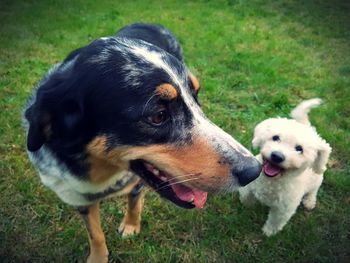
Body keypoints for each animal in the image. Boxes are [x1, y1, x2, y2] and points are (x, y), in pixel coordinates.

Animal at [24, 23, 260, 263]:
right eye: (158, 116)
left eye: (196, 97)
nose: (253, 170)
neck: (100, 175)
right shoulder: (78, 199)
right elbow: (95, 234)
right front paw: (98, 257)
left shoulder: (136, 183)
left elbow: (134, 205)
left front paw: (130, 226)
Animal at [239, 98, 332, 237]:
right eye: (275, 137)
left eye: (299, 149)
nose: (277, 156)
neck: (271, 181)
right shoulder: (249, 186)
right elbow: (246, 196)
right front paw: (247, 206)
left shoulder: (283, 209)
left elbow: (275, 221)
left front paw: (269, 232)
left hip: (316, 179)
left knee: (313, 190)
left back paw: (309, 201)